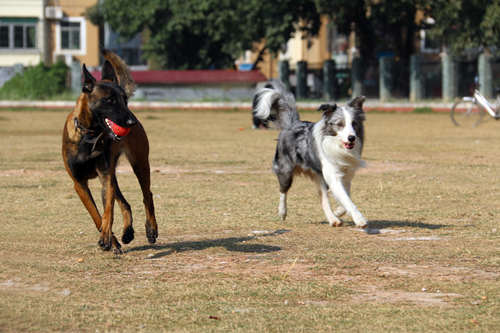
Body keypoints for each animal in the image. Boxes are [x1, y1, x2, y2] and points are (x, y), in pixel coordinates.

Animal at [62, 50, 157, 252]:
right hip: (114, 175)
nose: (131, 122)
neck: (89, 136)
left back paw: (151, 229)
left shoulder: (105, 178)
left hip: (140, 165)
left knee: (147, 195)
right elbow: (96, 215)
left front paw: (106, 237)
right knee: (125, 203)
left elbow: (108, 211)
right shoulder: (80, 184)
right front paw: (111, 241)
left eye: (125, 100)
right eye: (109, 100)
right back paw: (127, 232)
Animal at [254, 79, 368, 227]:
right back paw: (282, 212)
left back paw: (333, 219)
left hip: (319, 177)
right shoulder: (333, 176)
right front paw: (359, 219)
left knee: (323, 199)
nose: (351, 138)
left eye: (354, 123)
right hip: (285, 171)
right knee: (283, 191)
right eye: (340, 124)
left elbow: (345, 198)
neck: (337, 145)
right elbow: (347, 200)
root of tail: (293, 124)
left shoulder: (346, 176)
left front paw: (339, 212)